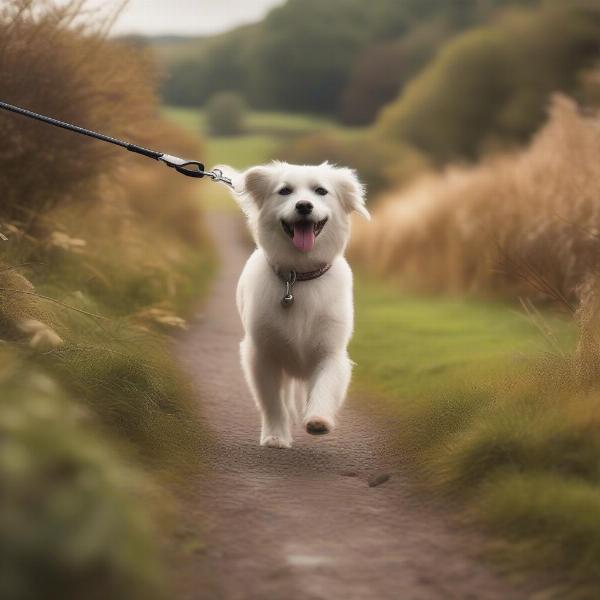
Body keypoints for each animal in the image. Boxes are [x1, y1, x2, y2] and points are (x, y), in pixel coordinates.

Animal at [223, 162, 368, 448]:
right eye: (285, 191)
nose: (303, 206)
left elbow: (324, 385)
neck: (298, 277)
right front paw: (275, 436)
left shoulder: (331, 351)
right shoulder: (262, 354)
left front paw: (318, 420)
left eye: (321, 191)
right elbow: (272, 402)